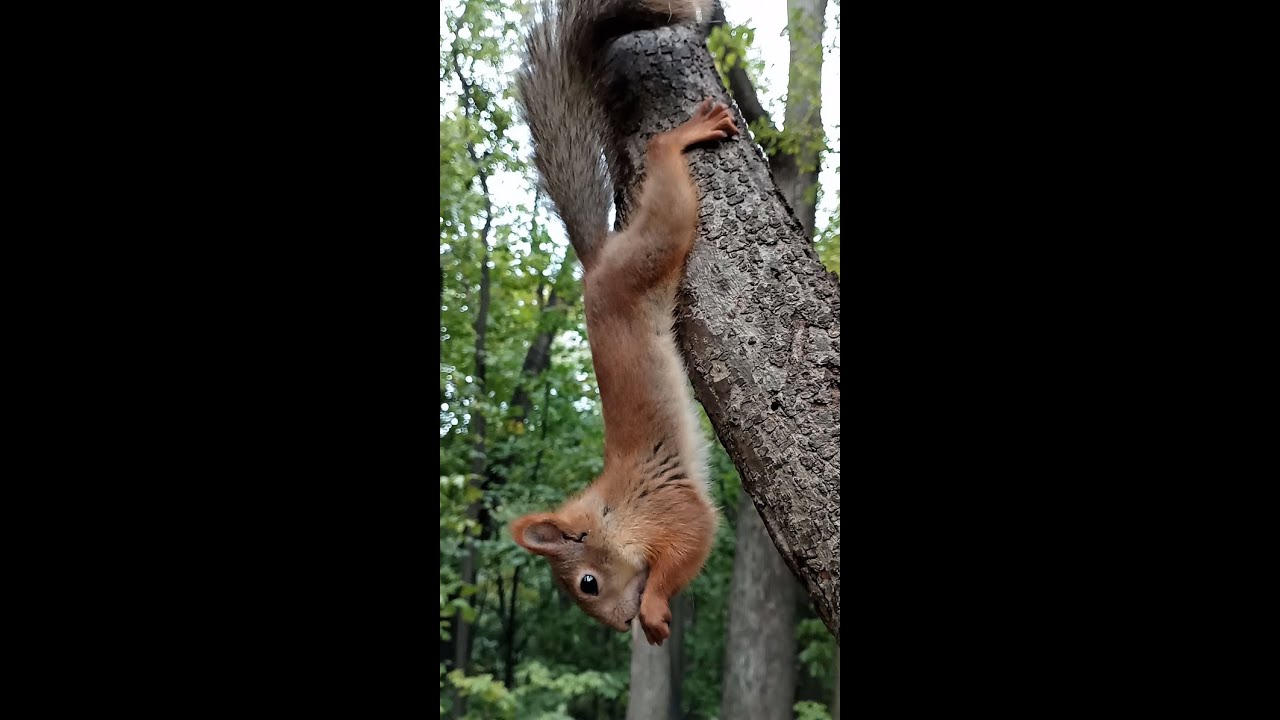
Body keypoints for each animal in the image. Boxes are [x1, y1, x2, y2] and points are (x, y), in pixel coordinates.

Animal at [509, 0, 739, 646]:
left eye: (587, 583)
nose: (619, 626)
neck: (613, 511)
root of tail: (594, 270)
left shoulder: (669, 508)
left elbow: (693, 540)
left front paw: (656, 608)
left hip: (653, 245)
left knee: (664, 179)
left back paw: (681, 137)